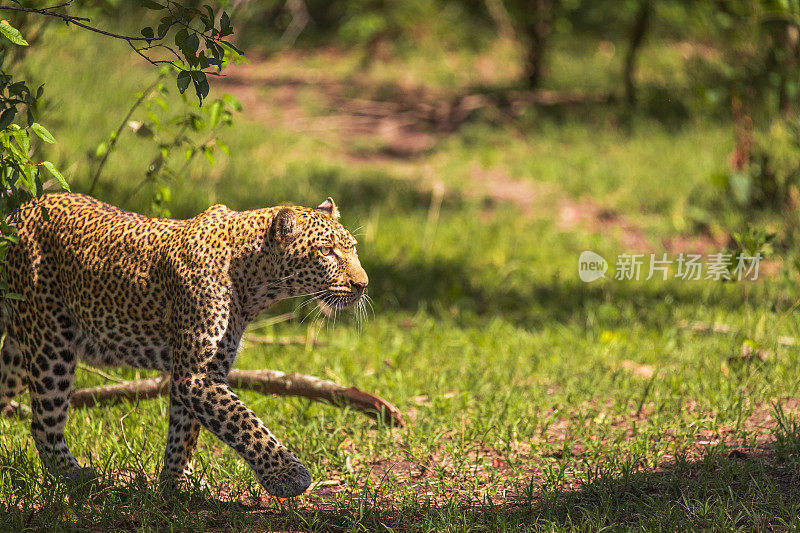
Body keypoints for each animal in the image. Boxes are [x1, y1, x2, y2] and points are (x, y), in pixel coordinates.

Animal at [0, 192, 368, 498]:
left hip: (20, 347)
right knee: (44, 424)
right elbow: (243, 422)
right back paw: (77, 478)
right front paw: (287, 473)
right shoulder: (196, 375)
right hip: (50, 342)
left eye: (352, 248)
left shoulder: (196, 371)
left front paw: (176, 483)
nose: (363, 284)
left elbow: (186, 430)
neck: (255, 281)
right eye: (327, 252)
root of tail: (19, 211)